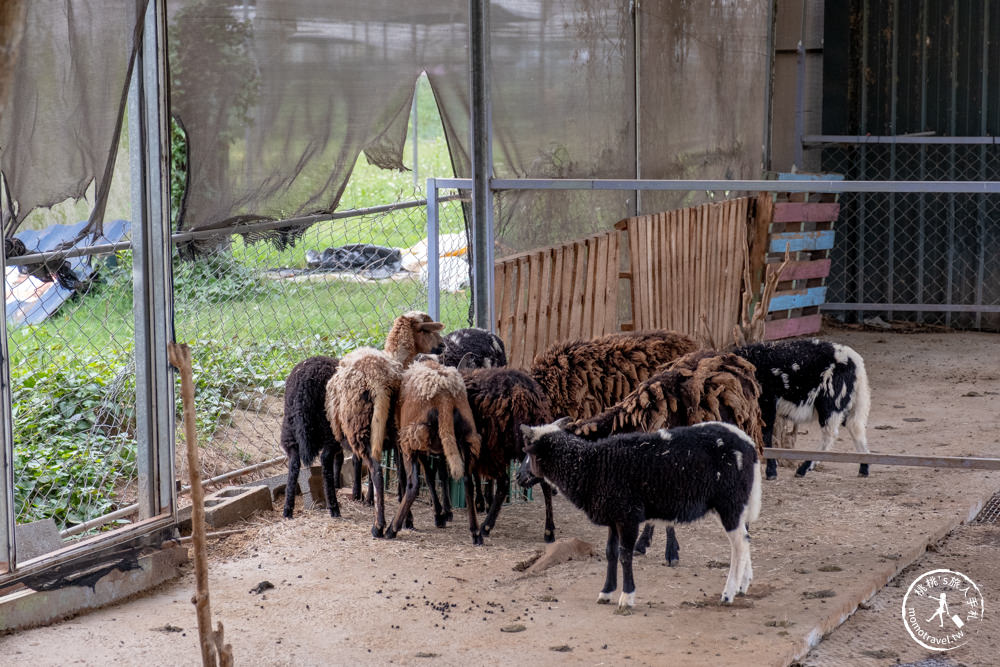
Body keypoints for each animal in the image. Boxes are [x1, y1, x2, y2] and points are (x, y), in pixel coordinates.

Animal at [520, 422, 760, 612]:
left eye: (529, 454)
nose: (518, 477)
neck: (590, 466)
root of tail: (749, 444)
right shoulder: (613, 516)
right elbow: (611, 553)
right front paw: (606, 592)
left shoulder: (628, 516)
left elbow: (626, 555)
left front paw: (626, 598)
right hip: (735, 504)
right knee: (746, 539)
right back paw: (743, 586)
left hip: (729, 502)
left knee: (739, 545)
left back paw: (728, 593)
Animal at [732, 340, 872, 480]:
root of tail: (856, 362)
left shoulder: (766, 404)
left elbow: (765, 436)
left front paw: (771, 472)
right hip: (846, 402)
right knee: (855, 428)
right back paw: (864, 468)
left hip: (831, 402)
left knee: (830, 435)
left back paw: (803, 468)